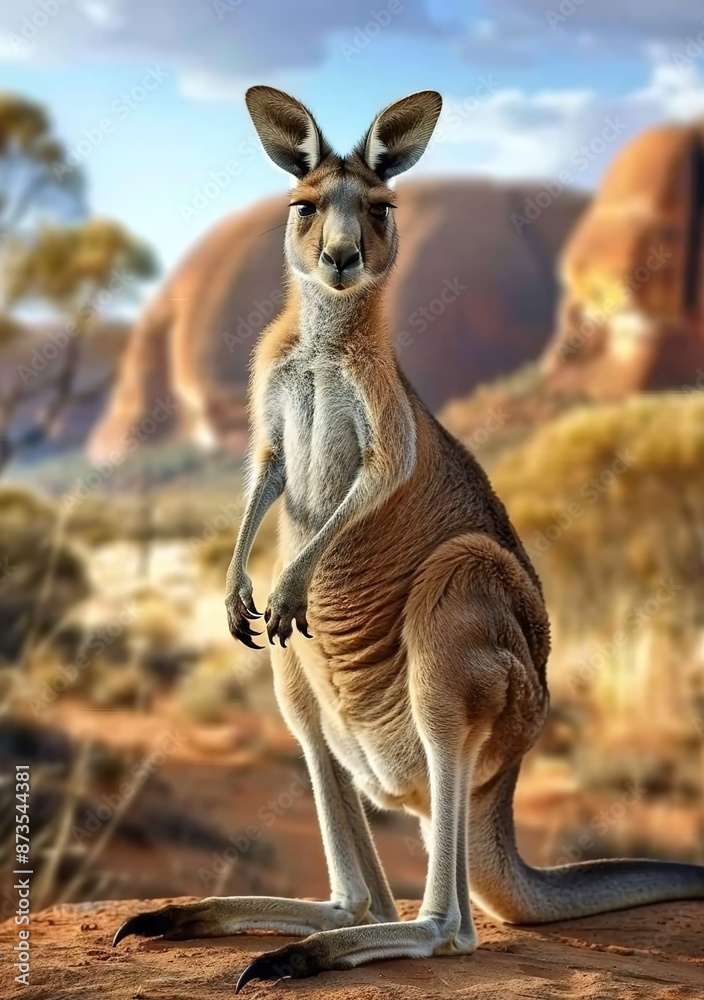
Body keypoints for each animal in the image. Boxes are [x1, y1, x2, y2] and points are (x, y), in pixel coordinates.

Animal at [114, 86, 704, 992]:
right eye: (304, 205)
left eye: (382, 208)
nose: (342, 258)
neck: (324, 341)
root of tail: (490, 788)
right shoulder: (270, 399)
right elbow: (267, 474)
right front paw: (240, 590)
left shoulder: (385, 419)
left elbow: (376, 480)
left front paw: (290, 582)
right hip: (298, 685)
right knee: (360, 892)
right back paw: (196, 918)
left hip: (458, 609)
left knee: (447, 925)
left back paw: (303, 952)